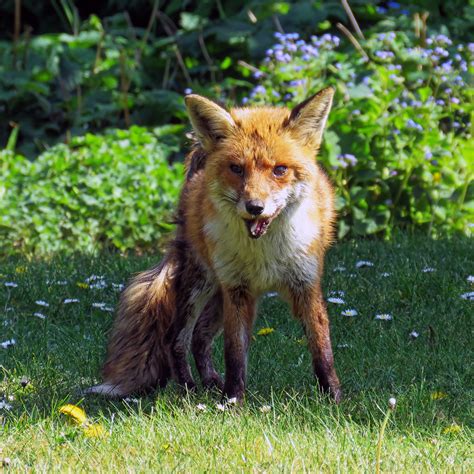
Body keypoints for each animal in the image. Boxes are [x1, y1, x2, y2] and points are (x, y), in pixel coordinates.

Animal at [86, 87, 340, 402]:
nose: (255, 207)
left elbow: (322, 348)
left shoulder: (305, 285)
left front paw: (334, 399)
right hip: (201, 283)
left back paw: (209, 383)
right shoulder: (237, 291)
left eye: (280, 170)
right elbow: (235, 354)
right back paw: (188, 389)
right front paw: (233, 402)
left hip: (218, 296)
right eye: (237, 169)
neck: (265, 254)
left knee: (200, 338)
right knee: (176, 339)